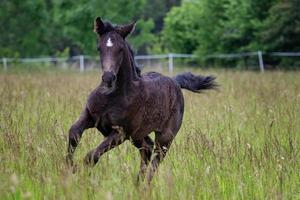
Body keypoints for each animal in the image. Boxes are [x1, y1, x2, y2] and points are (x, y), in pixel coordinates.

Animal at [65, 17, 217, 183]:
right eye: (99, 48)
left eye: (120, 49)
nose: (108, 78)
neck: (112, 95)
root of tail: (175, 82)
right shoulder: (90, 116)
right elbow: (74, 133)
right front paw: (69, 168)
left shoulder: (120, 133)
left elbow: (91, 156)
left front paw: (81, 175)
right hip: (138, 135)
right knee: (147, 150)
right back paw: (137, 182)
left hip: (164, 137)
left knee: (155, 159)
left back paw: (144, 184)